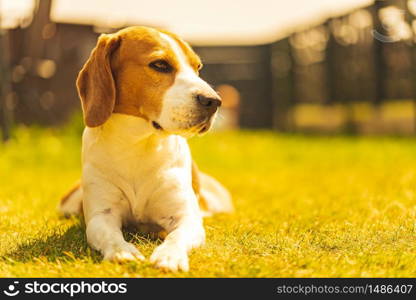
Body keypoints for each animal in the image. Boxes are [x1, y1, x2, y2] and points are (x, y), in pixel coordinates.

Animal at [59, 26, 232, 272]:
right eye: (160, 64)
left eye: (197, 68)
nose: (214, 101)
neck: (138, 146)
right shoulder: (101, 216)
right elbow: (109, 234)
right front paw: (122, 252)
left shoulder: (185, 217)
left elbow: (177, 236)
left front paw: (170, 255)